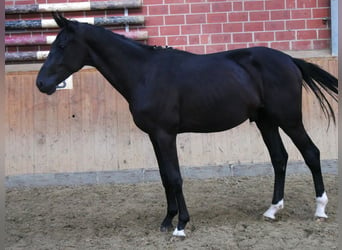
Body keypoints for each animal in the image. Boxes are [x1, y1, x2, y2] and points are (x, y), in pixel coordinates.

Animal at [36, 13, 336, 236]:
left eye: (61, 46)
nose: (41, 83)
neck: (145, 73)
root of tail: (289, 60)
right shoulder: (154, 136)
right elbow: (164, 177)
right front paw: (168, 220)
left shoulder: (166, 134)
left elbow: (175, 176)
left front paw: (180, 225)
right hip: (266, 122)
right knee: (279, 158)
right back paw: (272, 210)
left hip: (289, 120)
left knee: (311, 153)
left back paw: (320, 209)